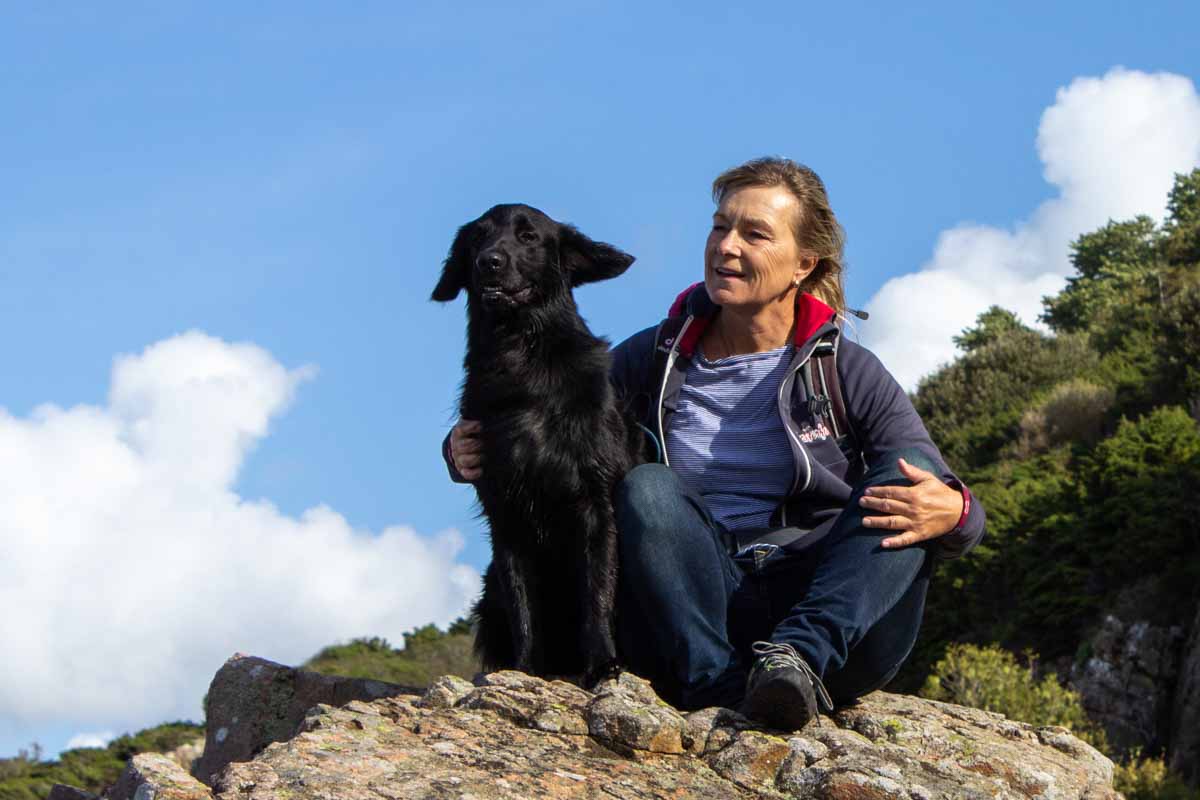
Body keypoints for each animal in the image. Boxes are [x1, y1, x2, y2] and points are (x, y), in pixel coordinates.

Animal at [432, 203, 641, 685]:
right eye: (477, 237)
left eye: (528, 237)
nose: (488, 262)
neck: (520, 355)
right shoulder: (504, 509)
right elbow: (522, 603)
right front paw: (524, 670)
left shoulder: (595, 502)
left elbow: (597, 592)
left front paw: (603, 664)